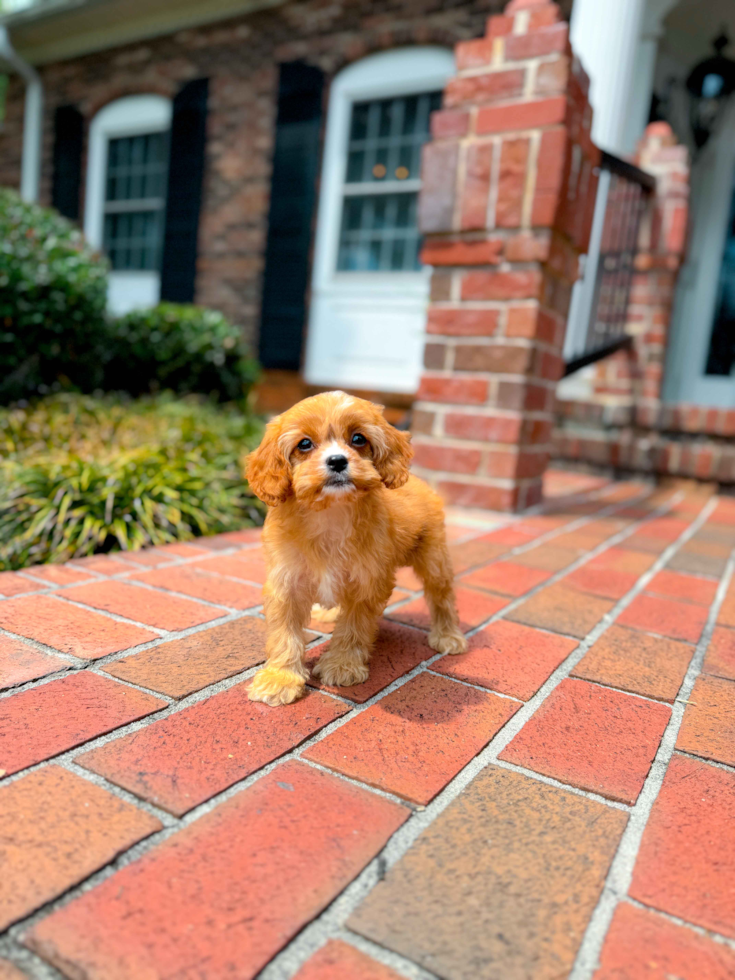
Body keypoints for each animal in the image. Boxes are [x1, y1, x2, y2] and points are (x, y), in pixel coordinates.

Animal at [246, 390, 466, 704]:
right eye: (304, 444)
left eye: (358, 439)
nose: (337, 461)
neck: (331, 513)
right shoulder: (286, 582)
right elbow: (283, 633)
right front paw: (280, 678)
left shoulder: (367, 582)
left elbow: (353, 626)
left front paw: (342, 665)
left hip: (434, 559)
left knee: (442, 596)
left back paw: (448, 635)